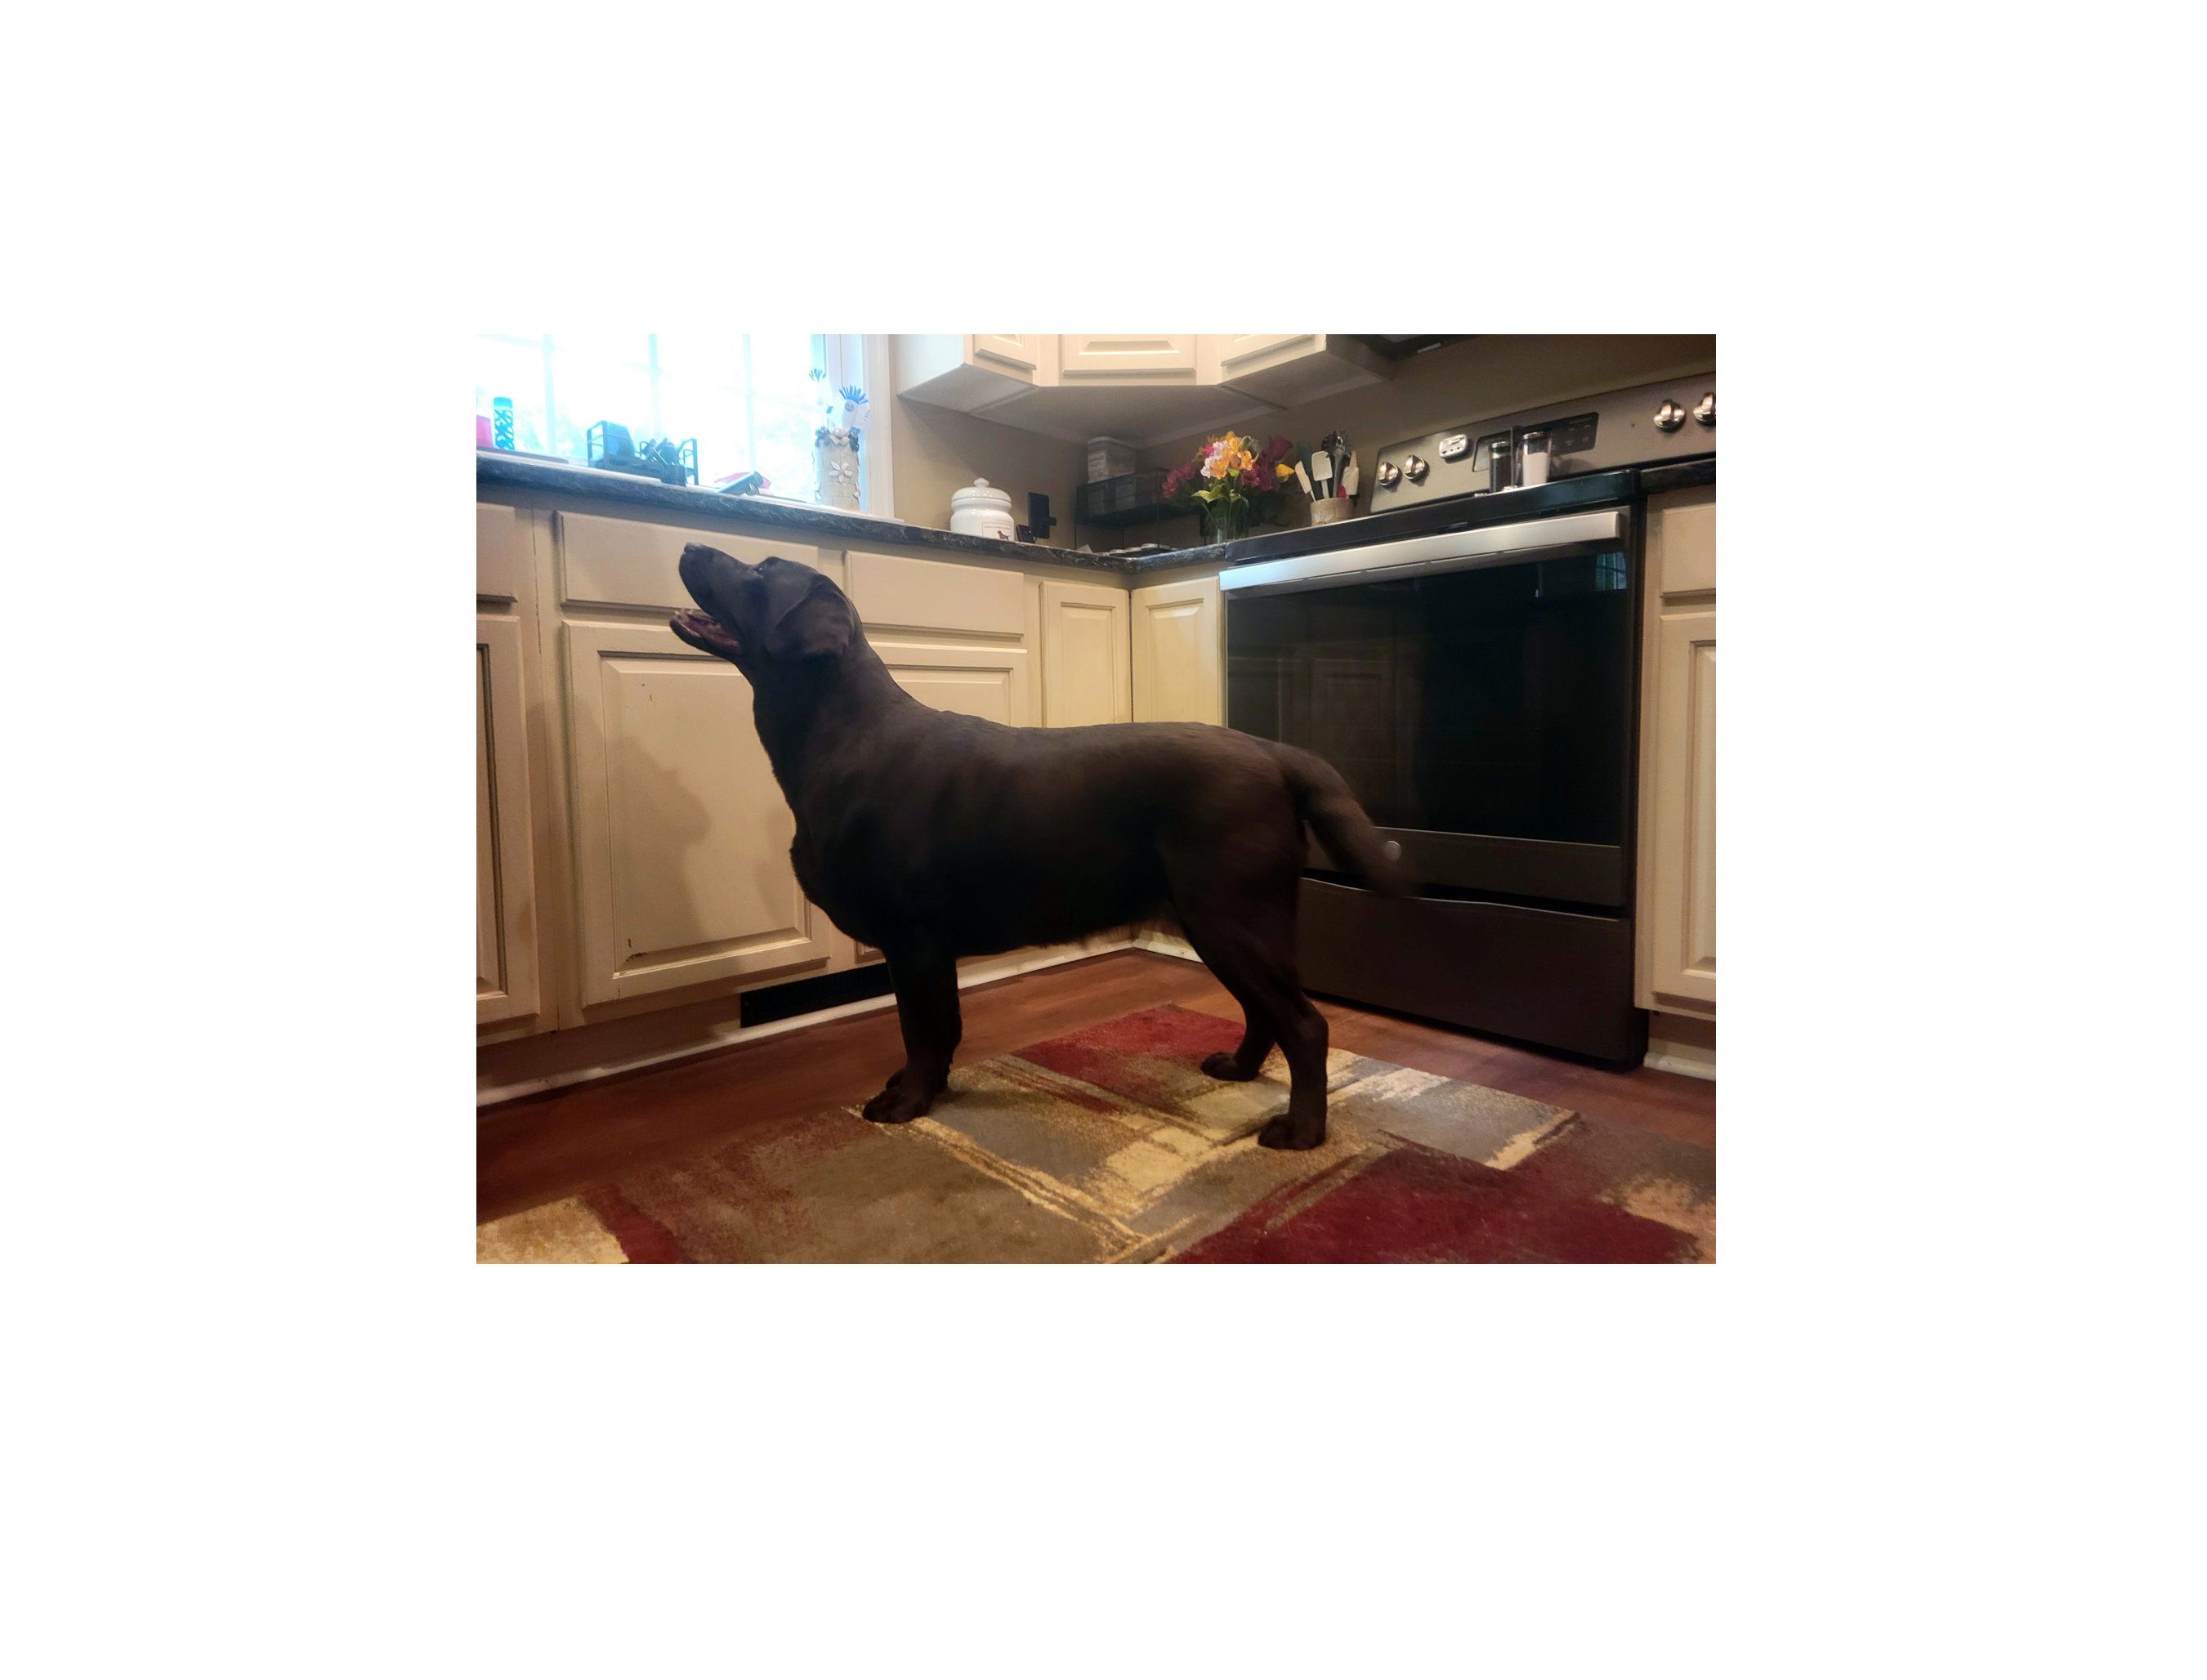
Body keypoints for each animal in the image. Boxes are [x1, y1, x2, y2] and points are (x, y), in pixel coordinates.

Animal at [671, 544, 1404, 1149]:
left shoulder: (914, 938)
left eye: (761, 570)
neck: (836, 734)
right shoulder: (924, 947)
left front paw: (907, 1103)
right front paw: (920, 1090)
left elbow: (922, 1030)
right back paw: (1239, 1069)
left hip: (1233, 914)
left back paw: (1300, 1131)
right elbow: (938, 1029)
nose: (689, 544)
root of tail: (1274, 749)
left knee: (1305, 1025)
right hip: (1217, 921)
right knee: (1264, 1010)